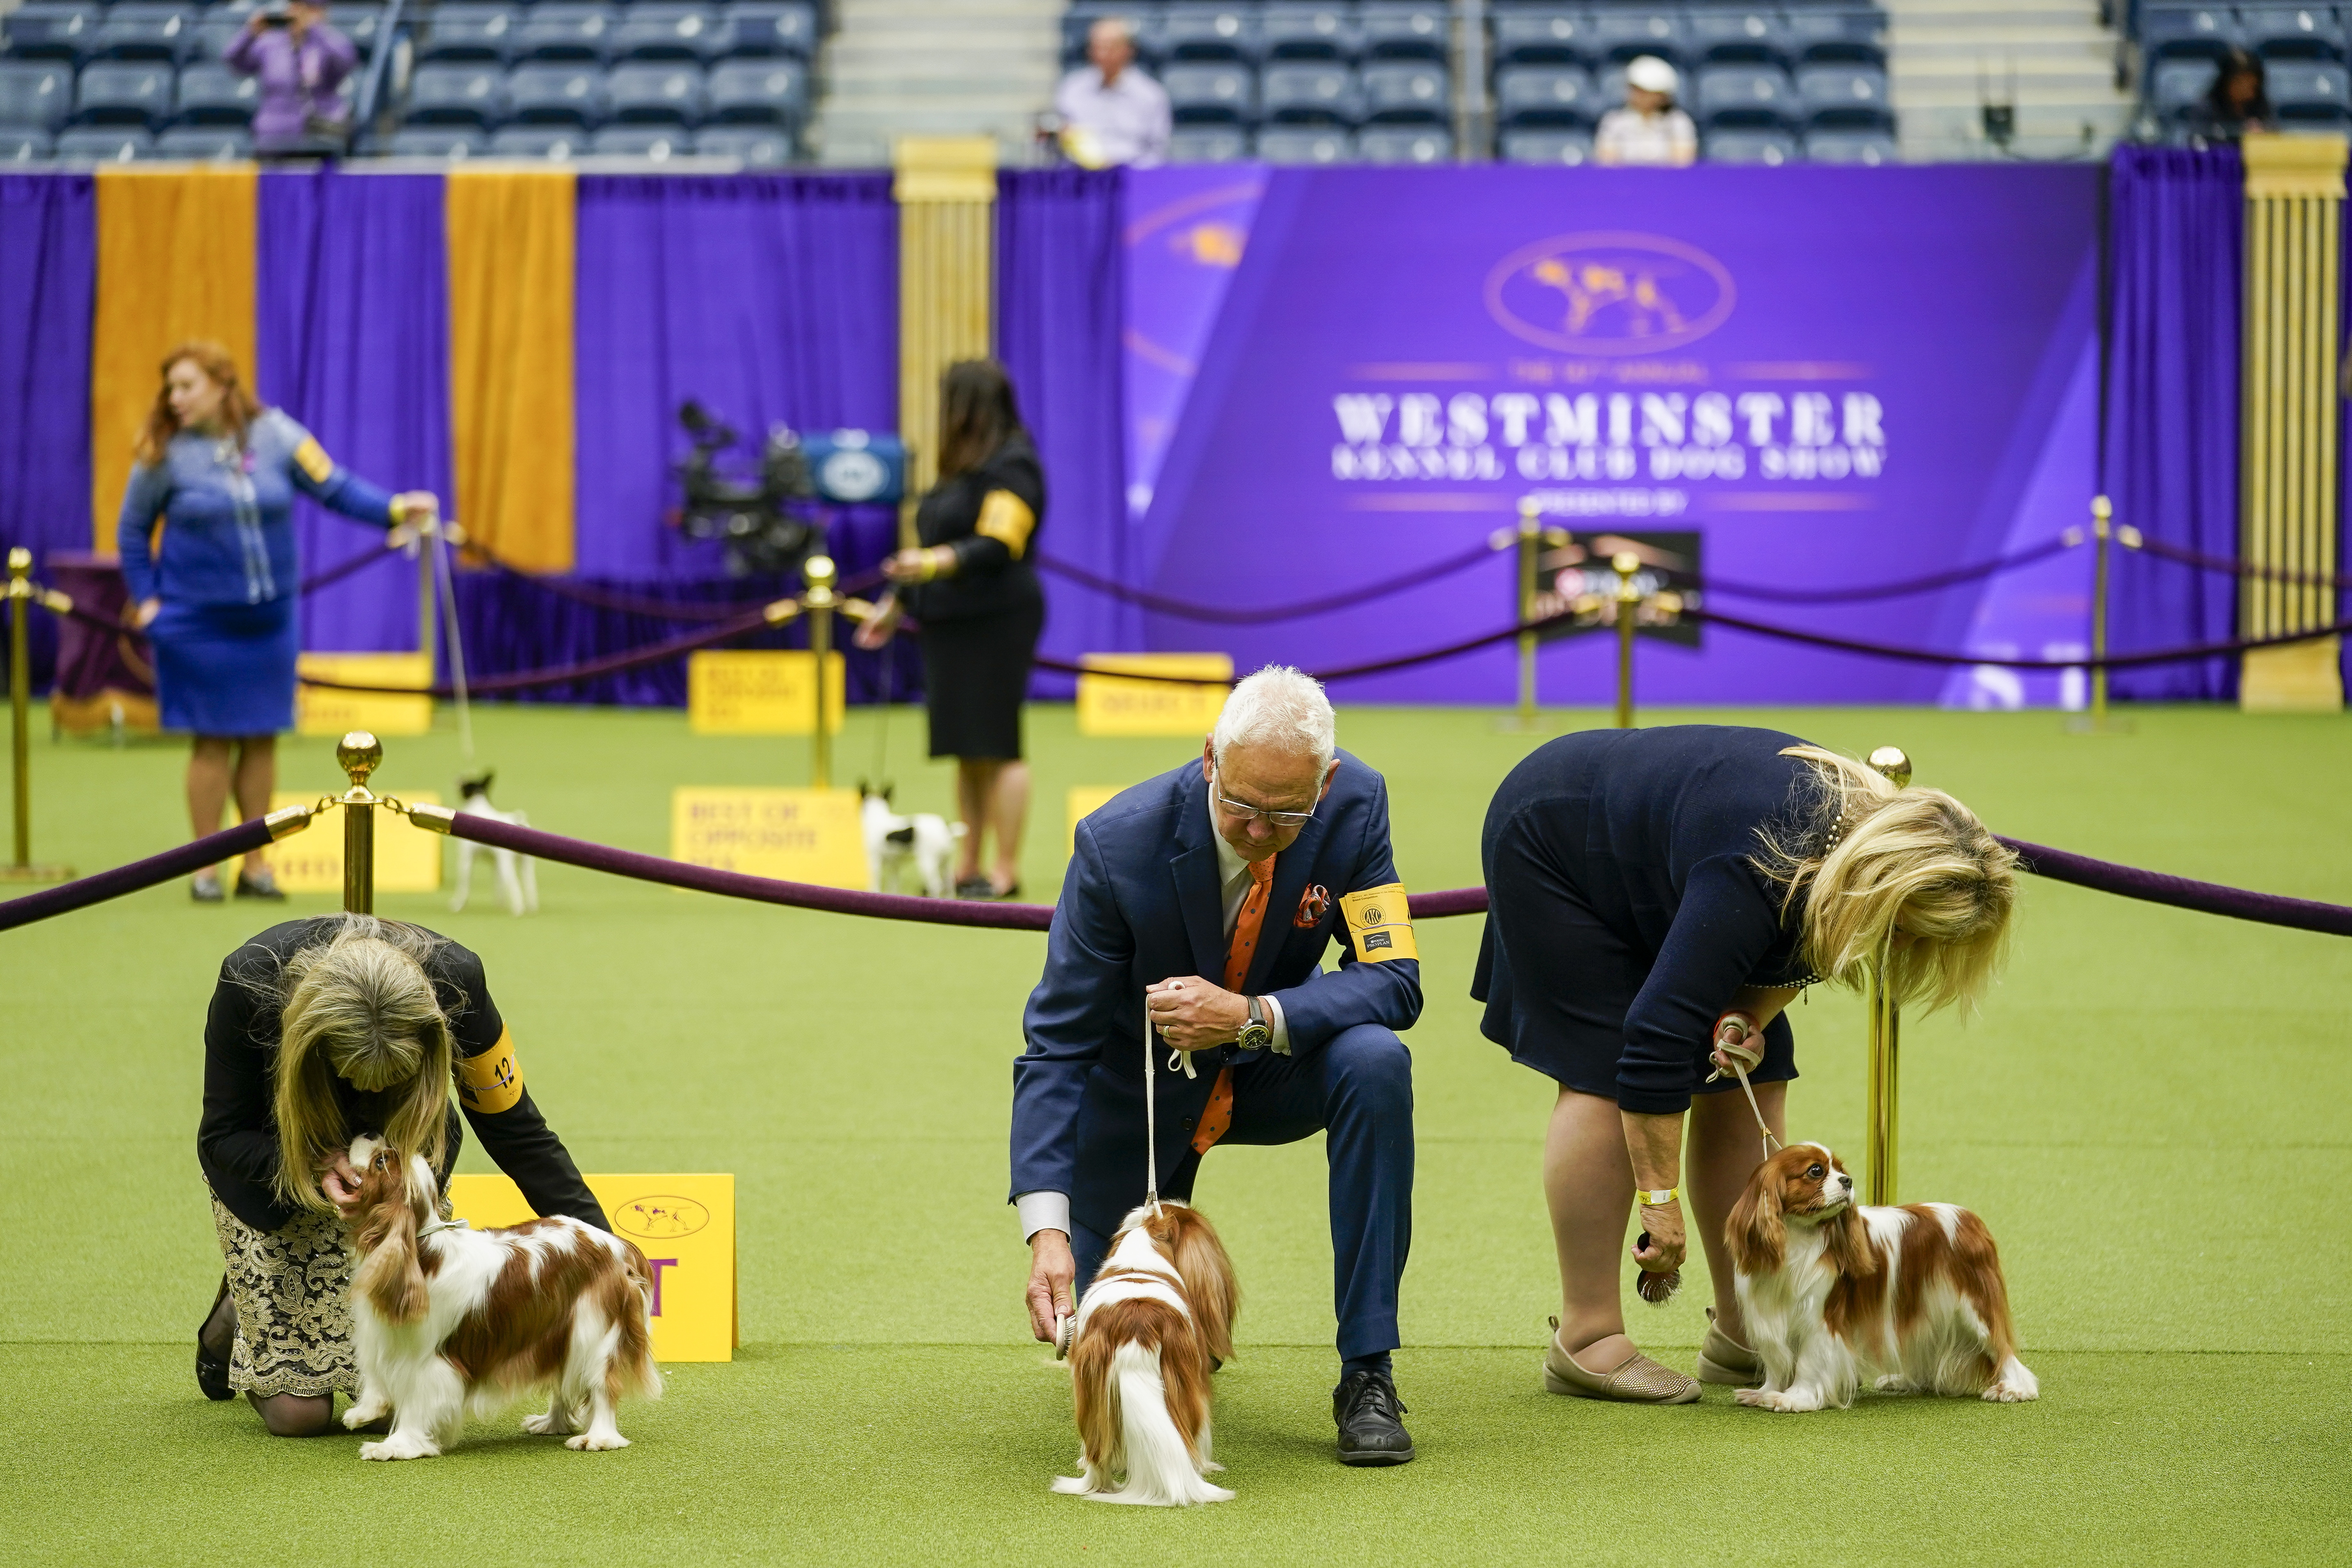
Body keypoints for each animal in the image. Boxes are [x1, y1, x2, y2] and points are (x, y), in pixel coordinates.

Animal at [339, 1142, 663, 1457]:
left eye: (381, 1162)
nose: (366, 1133)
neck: (422, 1254)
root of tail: (619, 1244)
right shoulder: (381, 1337)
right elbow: (376, 1378)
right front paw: (365, 1412)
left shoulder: (428, 1362)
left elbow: (415, 1403)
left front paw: (397, 1446)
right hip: (559, 1331)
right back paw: (552, 1422)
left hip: (592, 1331)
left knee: (601, 1384)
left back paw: (598, 1438)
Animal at [451, 771, 538, 921]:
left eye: (466, 782)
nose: (458, 777)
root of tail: (518, 821)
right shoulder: (495, 864)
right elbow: (498, 886)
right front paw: (499, 906)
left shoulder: (467, 860)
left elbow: (464, 886)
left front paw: (458, 905)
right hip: (526, 865)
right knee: (530, 886)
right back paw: (531, 908)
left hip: (507, 864)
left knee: (516, 887)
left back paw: (518, 909)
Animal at [860, 780, 959, 893]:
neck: (876, 816)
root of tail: (947, 830)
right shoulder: (894, 866)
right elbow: (894, 887)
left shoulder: (874, 862)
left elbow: (875, 885)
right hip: (945, 863)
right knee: (949, 885)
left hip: (927, 864)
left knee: (937, 886)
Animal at [1731, 1147, 2041, 1420]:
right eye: (1816, 1171)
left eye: (1841, 1170)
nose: (1848, 1181)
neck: (1797, 1238)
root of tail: (1969, 1218)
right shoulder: (1768, 1316)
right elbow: (1776, 1362)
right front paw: (1765, 1393)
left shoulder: (1819, 1319)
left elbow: (1808, 1361)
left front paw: (1796, 1398)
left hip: (1975, 1305)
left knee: (2002, 1348)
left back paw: (2016, 1388)